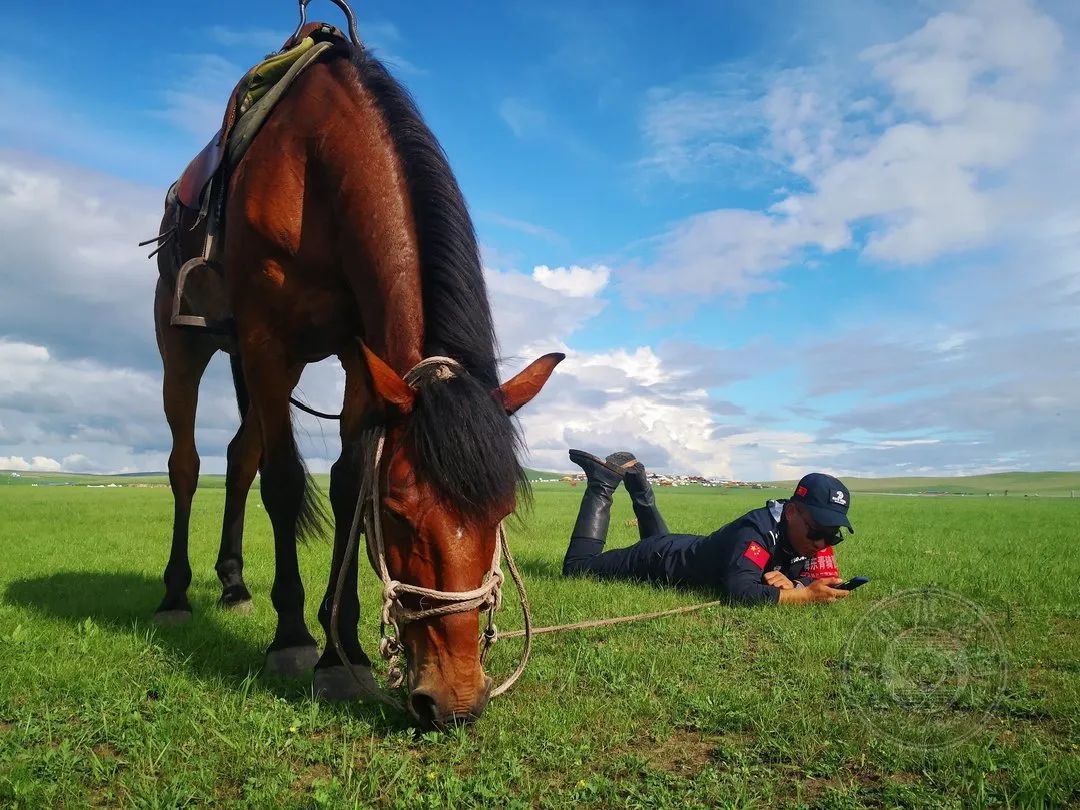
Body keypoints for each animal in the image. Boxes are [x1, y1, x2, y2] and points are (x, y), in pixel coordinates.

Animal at [155, 36, 561, 730]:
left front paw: (341, 648)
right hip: (186, 347)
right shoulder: (267, 342)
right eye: (397, 513)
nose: (455, 698)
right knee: (188, 464)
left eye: (503, 508)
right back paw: (176, 594)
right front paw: (294, 639)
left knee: (239, 457)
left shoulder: (356, 354)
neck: (315, 163)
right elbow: (285, 485)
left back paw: (233, 584)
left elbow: (347, 484)